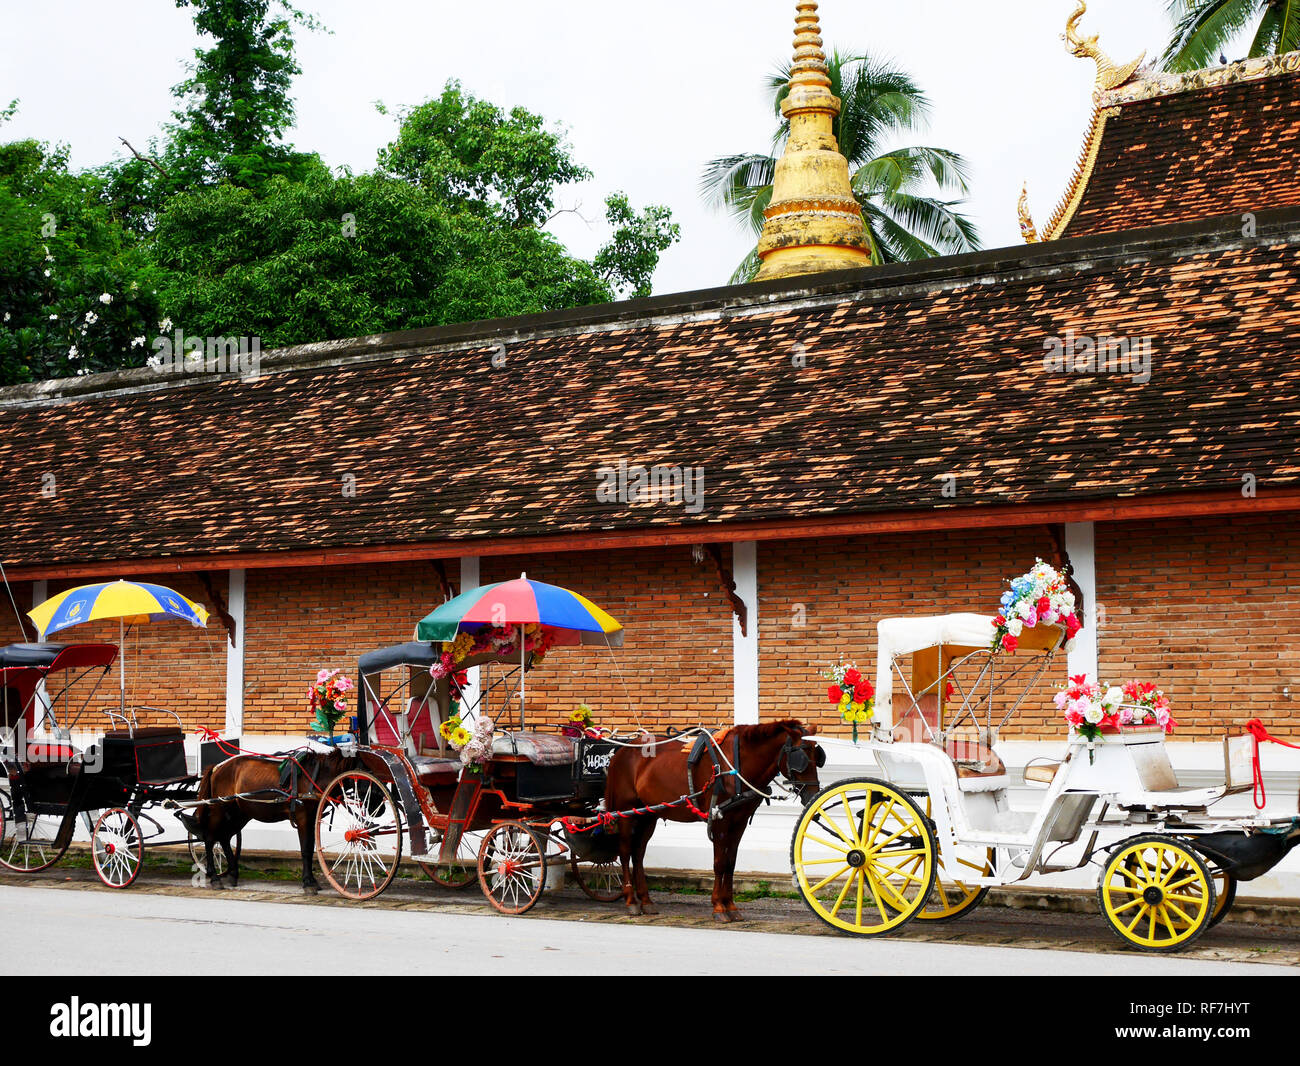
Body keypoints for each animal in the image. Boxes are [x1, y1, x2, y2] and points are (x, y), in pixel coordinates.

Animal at [180, 743, 351, 894]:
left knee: (224, 838)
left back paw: (233, 874)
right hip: (219, 810)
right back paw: (215, 878)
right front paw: (308, 882)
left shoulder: (313, 818)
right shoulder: (303, 818)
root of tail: (217, 768)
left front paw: (311, 880)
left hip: (238, 813)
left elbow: (311, 848)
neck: (314, 776)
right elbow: (306, 850)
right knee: (210, 838)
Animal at [600, 722, 821, 925]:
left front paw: (731, 905)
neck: (735, 765)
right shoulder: (720, 822)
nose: (813, 795)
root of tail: (623, 751)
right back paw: (631, 900)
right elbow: (719, 863)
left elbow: (731, 863)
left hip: (648, 815)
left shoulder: (739, 822)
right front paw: (718, 906)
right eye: (801, 757)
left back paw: (646, 900)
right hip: (627, 812)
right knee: (625, 851)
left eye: (817, 756)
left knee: (638, 854)